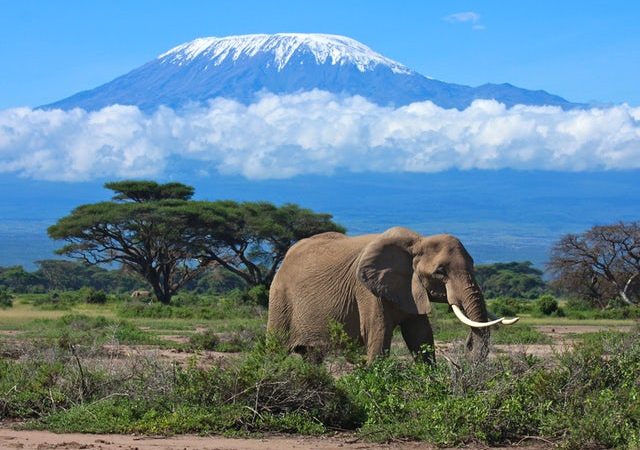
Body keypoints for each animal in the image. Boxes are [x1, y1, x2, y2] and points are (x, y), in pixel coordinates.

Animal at [267, 227, 518, 363]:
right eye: (440, 271)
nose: (467, 345)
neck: (417, 242)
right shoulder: (366, 290)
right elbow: (378, 336)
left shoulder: (410, 289)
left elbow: (421, 337)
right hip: (279, 297)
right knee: (275, 349)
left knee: (312, 357)